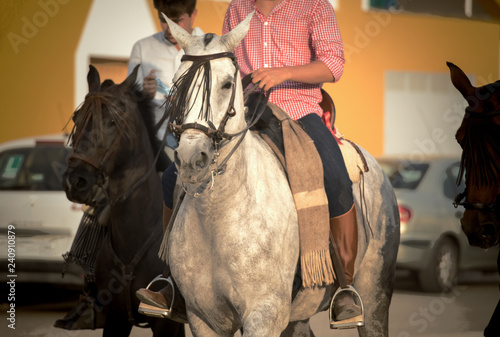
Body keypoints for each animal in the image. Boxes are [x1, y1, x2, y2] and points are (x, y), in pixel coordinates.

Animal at [162, 13, 400, 336]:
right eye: (178, 83)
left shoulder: (265, 315)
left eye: (226, 84)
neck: (221, 213)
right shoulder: (204, 319)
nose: (190, 157)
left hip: (375, 294)